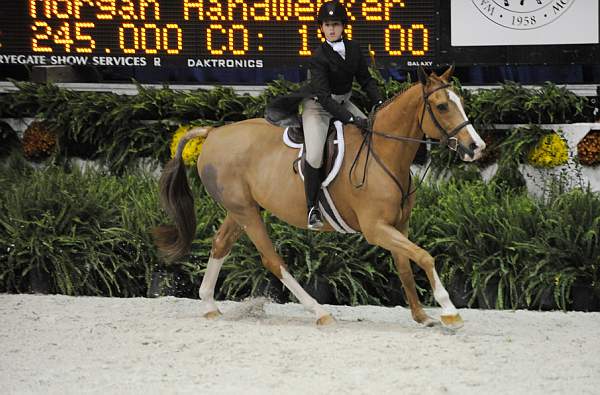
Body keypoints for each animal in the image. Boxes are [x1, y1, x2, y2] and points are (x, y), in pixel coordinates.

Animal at [155, 67, 488, 328]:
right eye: (442, 106)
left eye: (460, 103)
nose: (477, 147)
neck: (383, 153)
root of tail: (213, 133)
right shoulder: (376, 229)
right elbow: (424, 256)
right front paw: (449, 311)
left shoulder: (398, 225)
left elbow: (406, 264)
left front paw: (422, 315)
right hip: (246, 212)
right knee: (272, 260)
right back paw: (319, 312)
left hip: (241, 210)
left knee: (220, 244)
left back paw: (210, 306)